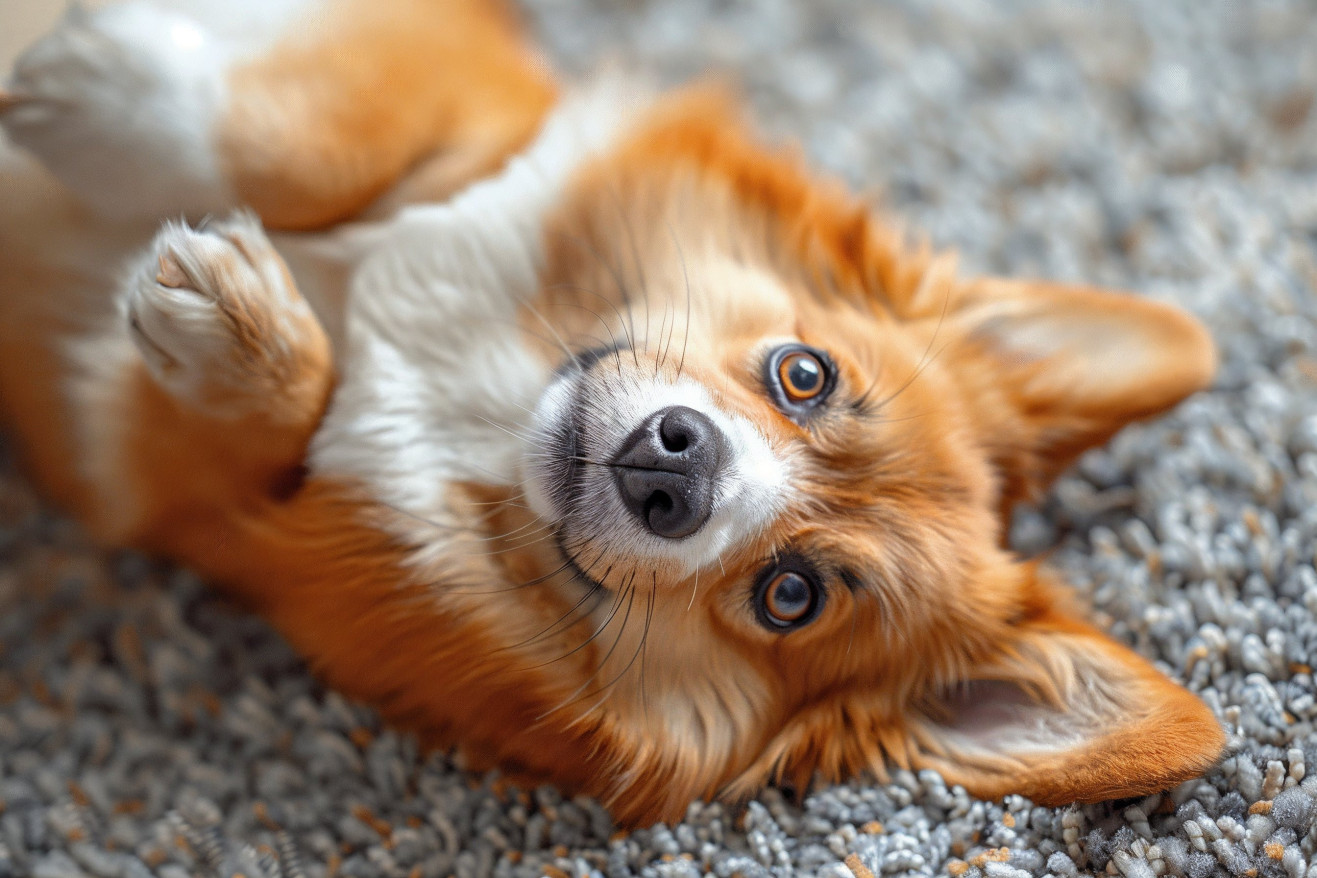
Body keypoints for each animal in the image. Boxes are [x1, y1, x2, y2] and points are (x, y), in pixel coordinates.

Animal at [0, 0, 1222, 826]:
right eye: (805, 375)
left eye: (791, 594)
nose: (672, 470)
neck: (478, 384)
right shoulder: (453, 76)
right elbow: (316, 141)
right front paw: (94, 82)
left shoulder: (167, 492)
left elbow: (259, 417)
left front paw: (234, 326)